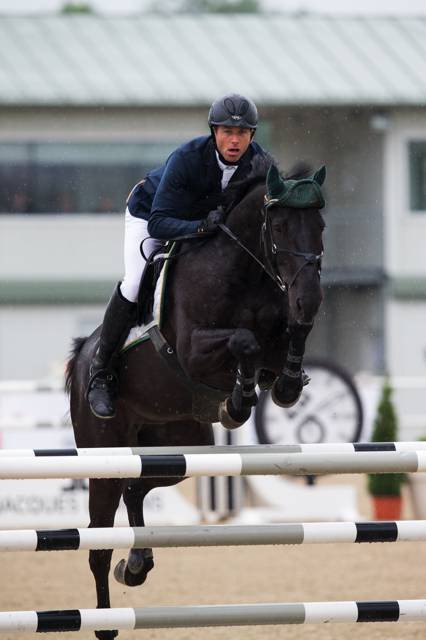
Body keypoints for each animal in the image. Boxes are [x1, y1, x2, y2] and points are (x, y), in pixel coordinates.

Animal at [65, 161, 326, 640]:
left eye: (320, 225)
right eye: (279, 226)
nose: (310, 299)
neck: (246, 270)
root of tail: (81, 355)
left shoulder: (280, 338)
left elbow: (288, 342)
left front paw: (283, 386)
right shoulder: (192, 349)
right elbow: (243, 342)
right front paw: (238, 403)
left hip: (181, 444)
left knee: (136, 488)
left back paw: (137, 565)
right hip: (105, 455)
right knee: (98, 544)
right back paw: (106, 623)